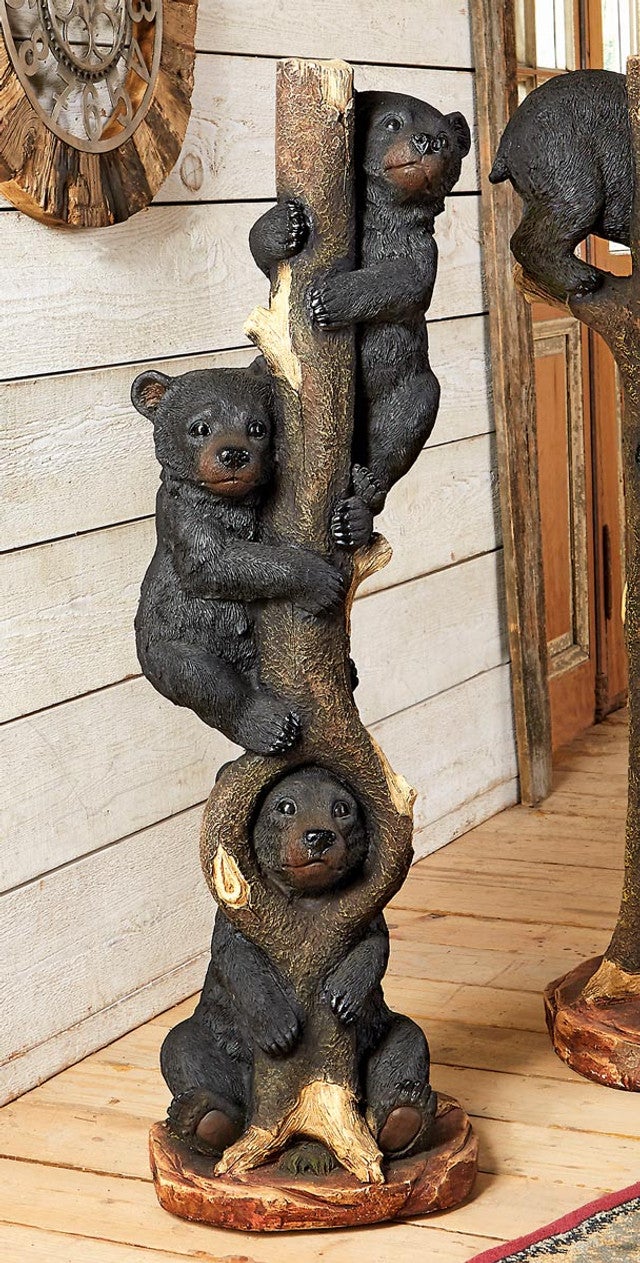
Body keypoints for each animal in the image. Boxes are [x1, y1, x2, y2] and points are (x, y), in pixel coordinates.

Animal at [131, 364, 345, 756]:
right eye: (200, 427)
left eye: (257, 427)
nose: (233, 454)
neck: (229, 503)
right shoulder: (185, 516)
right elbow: (214, 564)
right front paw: (321, 582)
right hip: (169, 641)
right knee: (202, 679)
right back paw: (271, 727)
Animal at [160, 765, 436, 1174]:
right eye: (286, 806)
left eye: (342, 808)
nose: (319, 836)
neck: (308, 900)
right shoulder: (237, 917)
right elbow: (237, 960)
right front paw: (278, 1028)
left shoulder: (360, 916)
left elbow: (376, 947)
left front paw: (344, 995)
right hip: (218, 1039)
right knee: (183, 1047)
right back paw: (203, 1118)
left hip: (381, 1033)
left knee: (406, 1042)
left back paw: (405, 1116)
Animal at [249, 90, 471, 549]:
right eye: (393, 123)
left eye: (444, 138)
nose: (427, 142)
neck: (380, 219)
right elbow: (265, 255)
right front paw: (283, 223)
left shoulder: (420, 250)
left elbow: (406, 282)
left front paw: (329, 298)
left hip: (407, 383)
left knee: (406, 422)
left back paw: (359, 505)